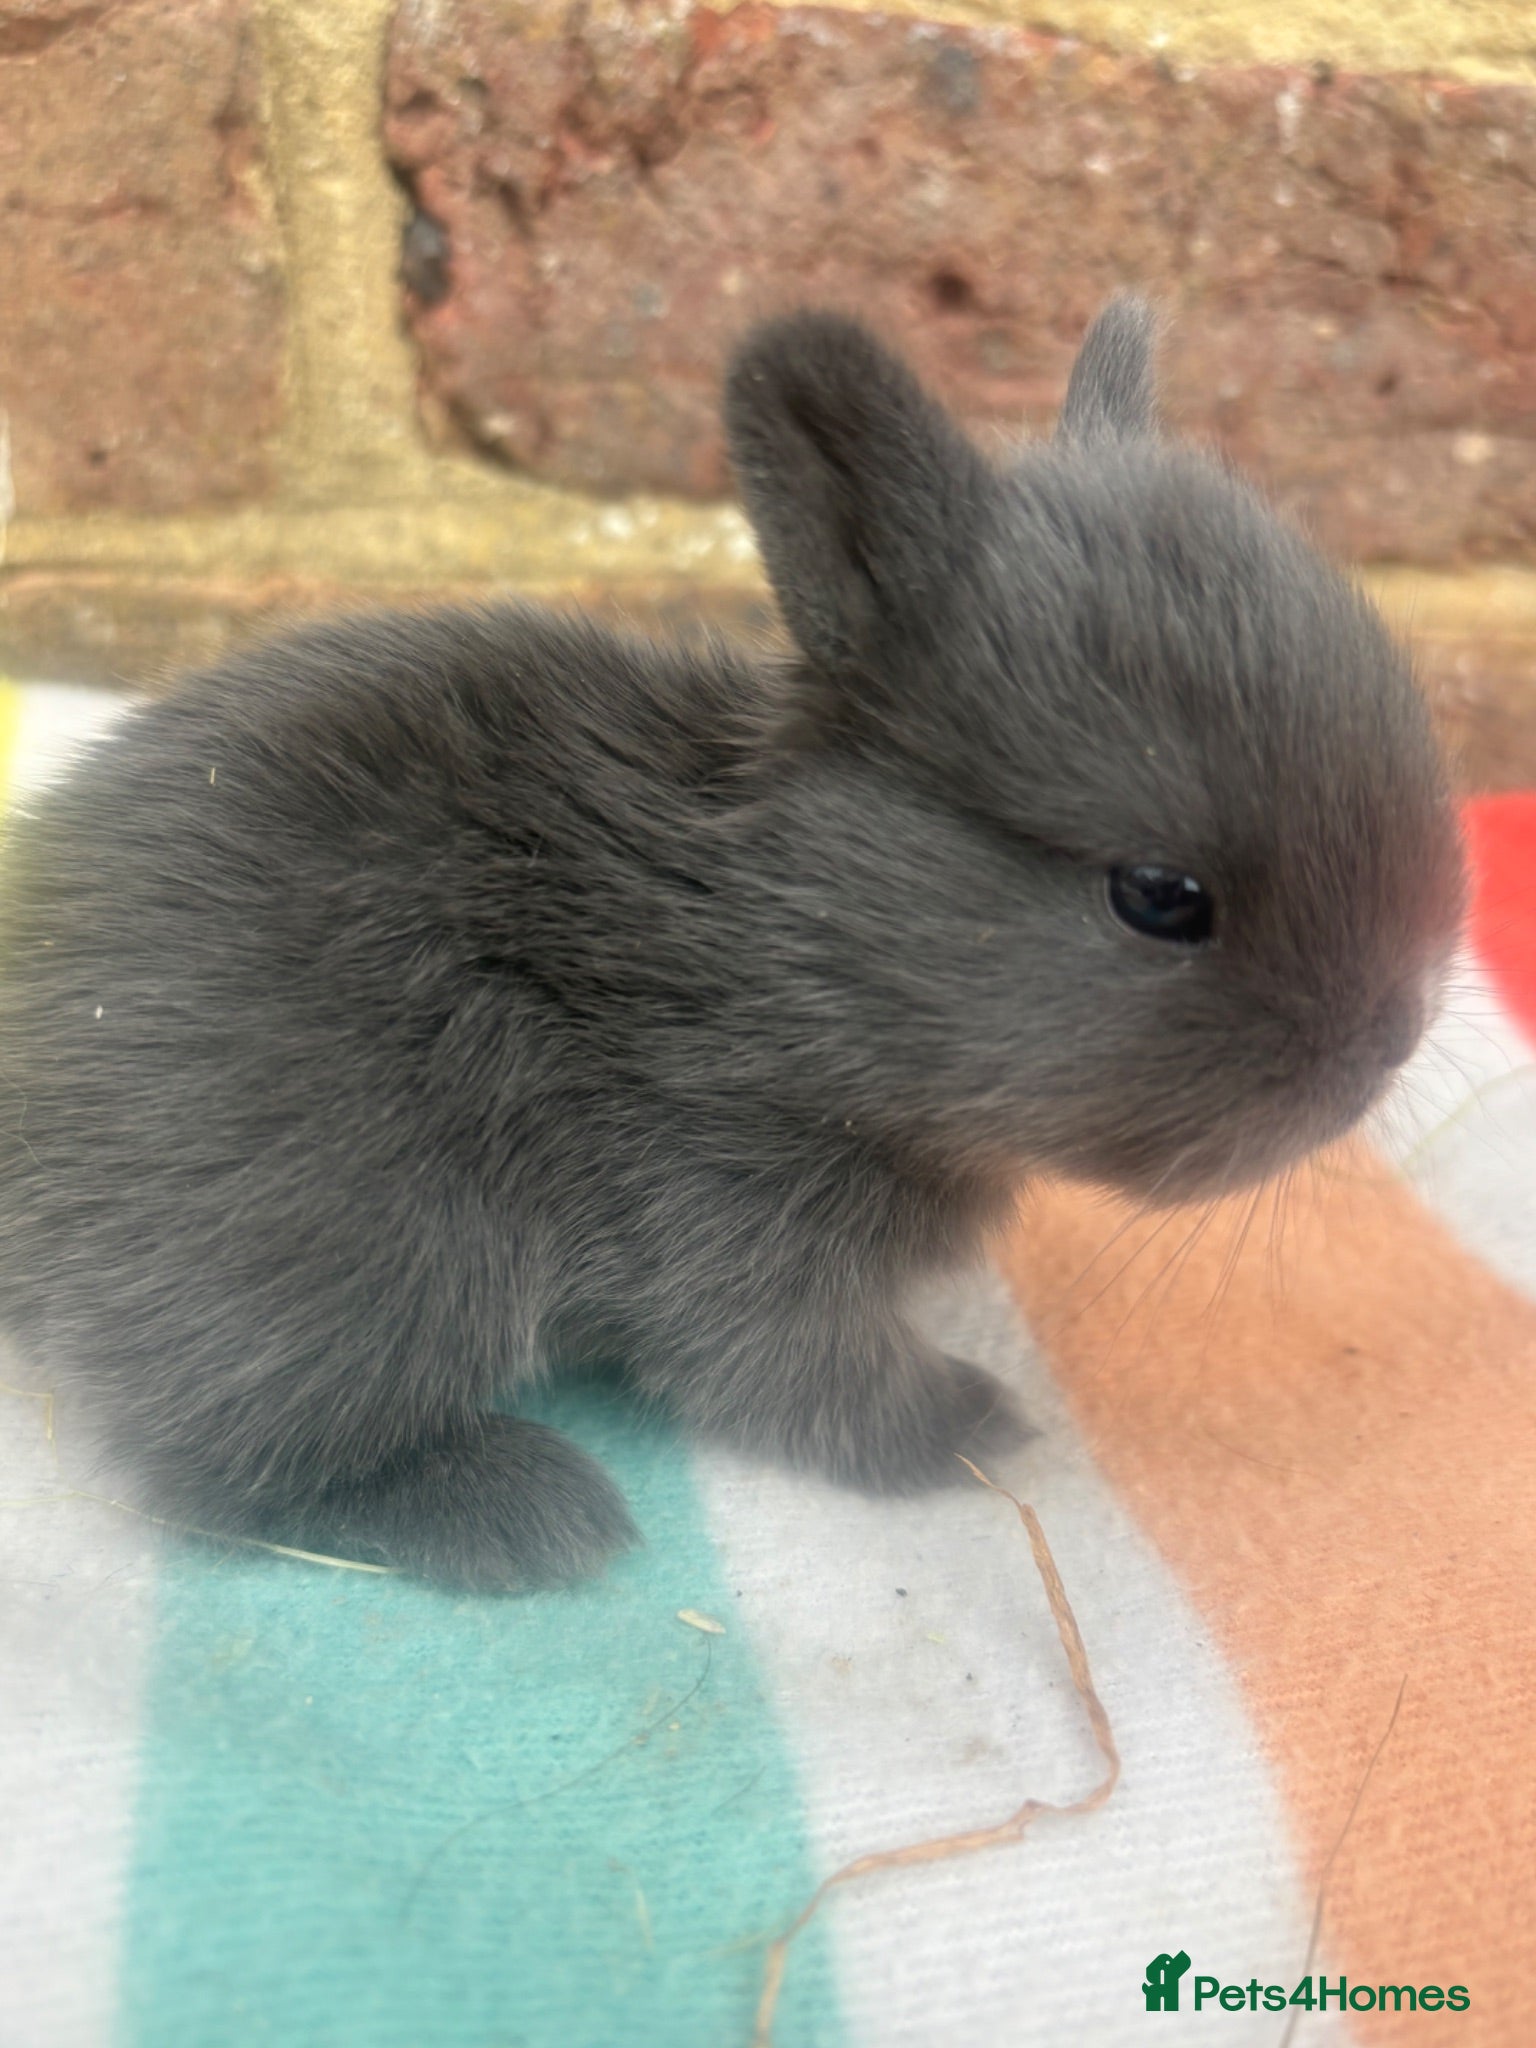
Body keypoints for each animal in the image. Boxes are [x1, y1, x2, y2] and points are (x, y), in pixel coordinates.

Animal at [0, 298, 1464, 1589]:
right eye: (1159, 895)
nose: (1391, 1039)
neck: (784, 957)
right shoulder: (724, 1216)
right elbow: (800, 1382)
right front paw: (976, 1422)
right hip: (379, 1256)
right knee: (226, 1467)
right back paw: (527, 1511)